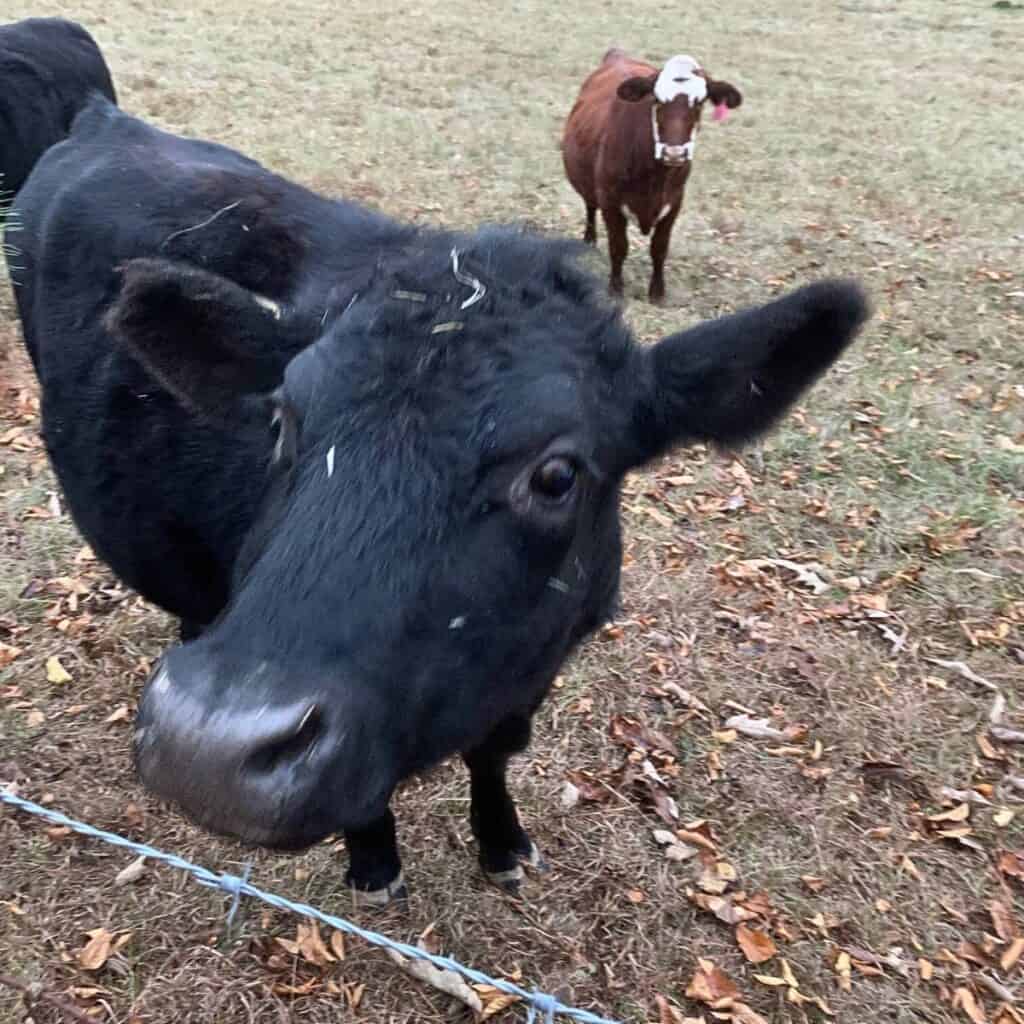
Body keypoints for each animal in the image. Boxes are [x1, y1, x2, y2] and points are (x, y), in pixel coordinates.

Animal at [561, 48, 745, 303]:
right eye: (656, 100)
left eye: (699, 102)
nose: (674, 152)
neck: (654, 178)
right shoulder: (610, 200)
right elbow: (618, 247)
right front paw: (615, 288)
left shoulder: (674, 202)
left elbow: (659, 249)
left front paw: (657, 291)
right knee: (590, 206)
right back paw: (589, 241)